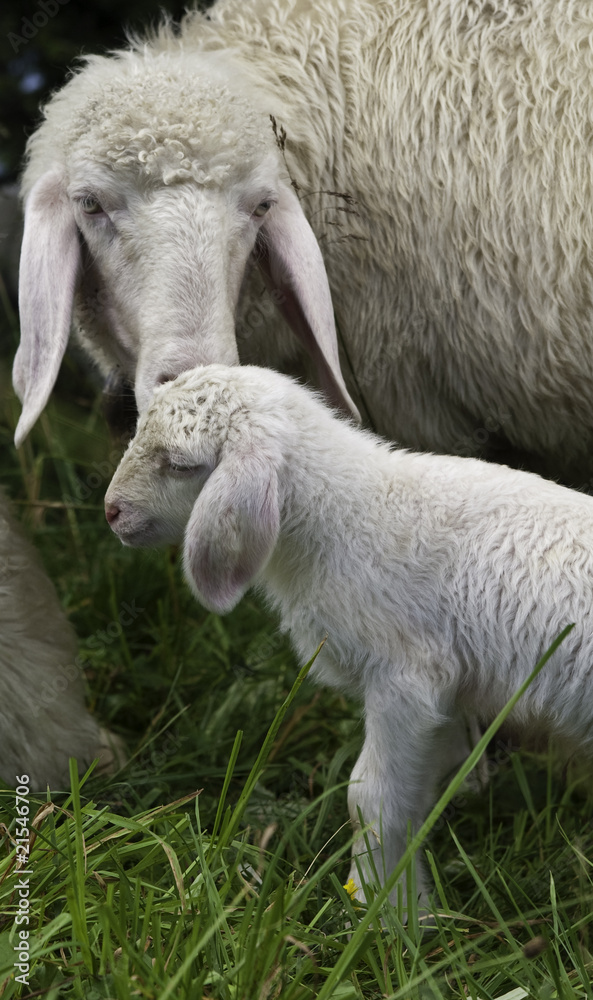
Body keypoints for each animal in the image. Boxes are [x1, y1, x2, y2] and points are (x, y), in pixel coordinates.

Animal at [104, 363, 593, 905]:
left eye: (180, 465)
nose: (111, 511)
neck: (347, 513)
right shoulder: (443, 692)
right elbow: (425, 781)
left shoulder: (404, 676)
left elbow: (368, 800)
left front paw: (384, 909)